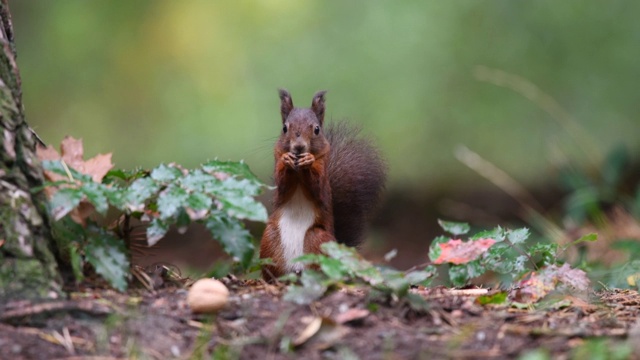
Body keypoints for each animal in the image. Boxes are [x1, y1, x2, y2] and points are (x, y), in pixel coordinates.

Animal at [258, 90, 384, 282]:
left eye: (317, 129)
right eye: (284, 128)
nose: (299, 147)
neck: (298, 171)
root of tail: (295, 270)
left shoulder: (323, 178)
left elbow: (317, 187)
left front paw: (308, 161)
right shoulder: (278, 171)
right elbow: (282, 186)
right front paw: (287, 159)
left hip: (317, 240)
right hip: (270, 241)